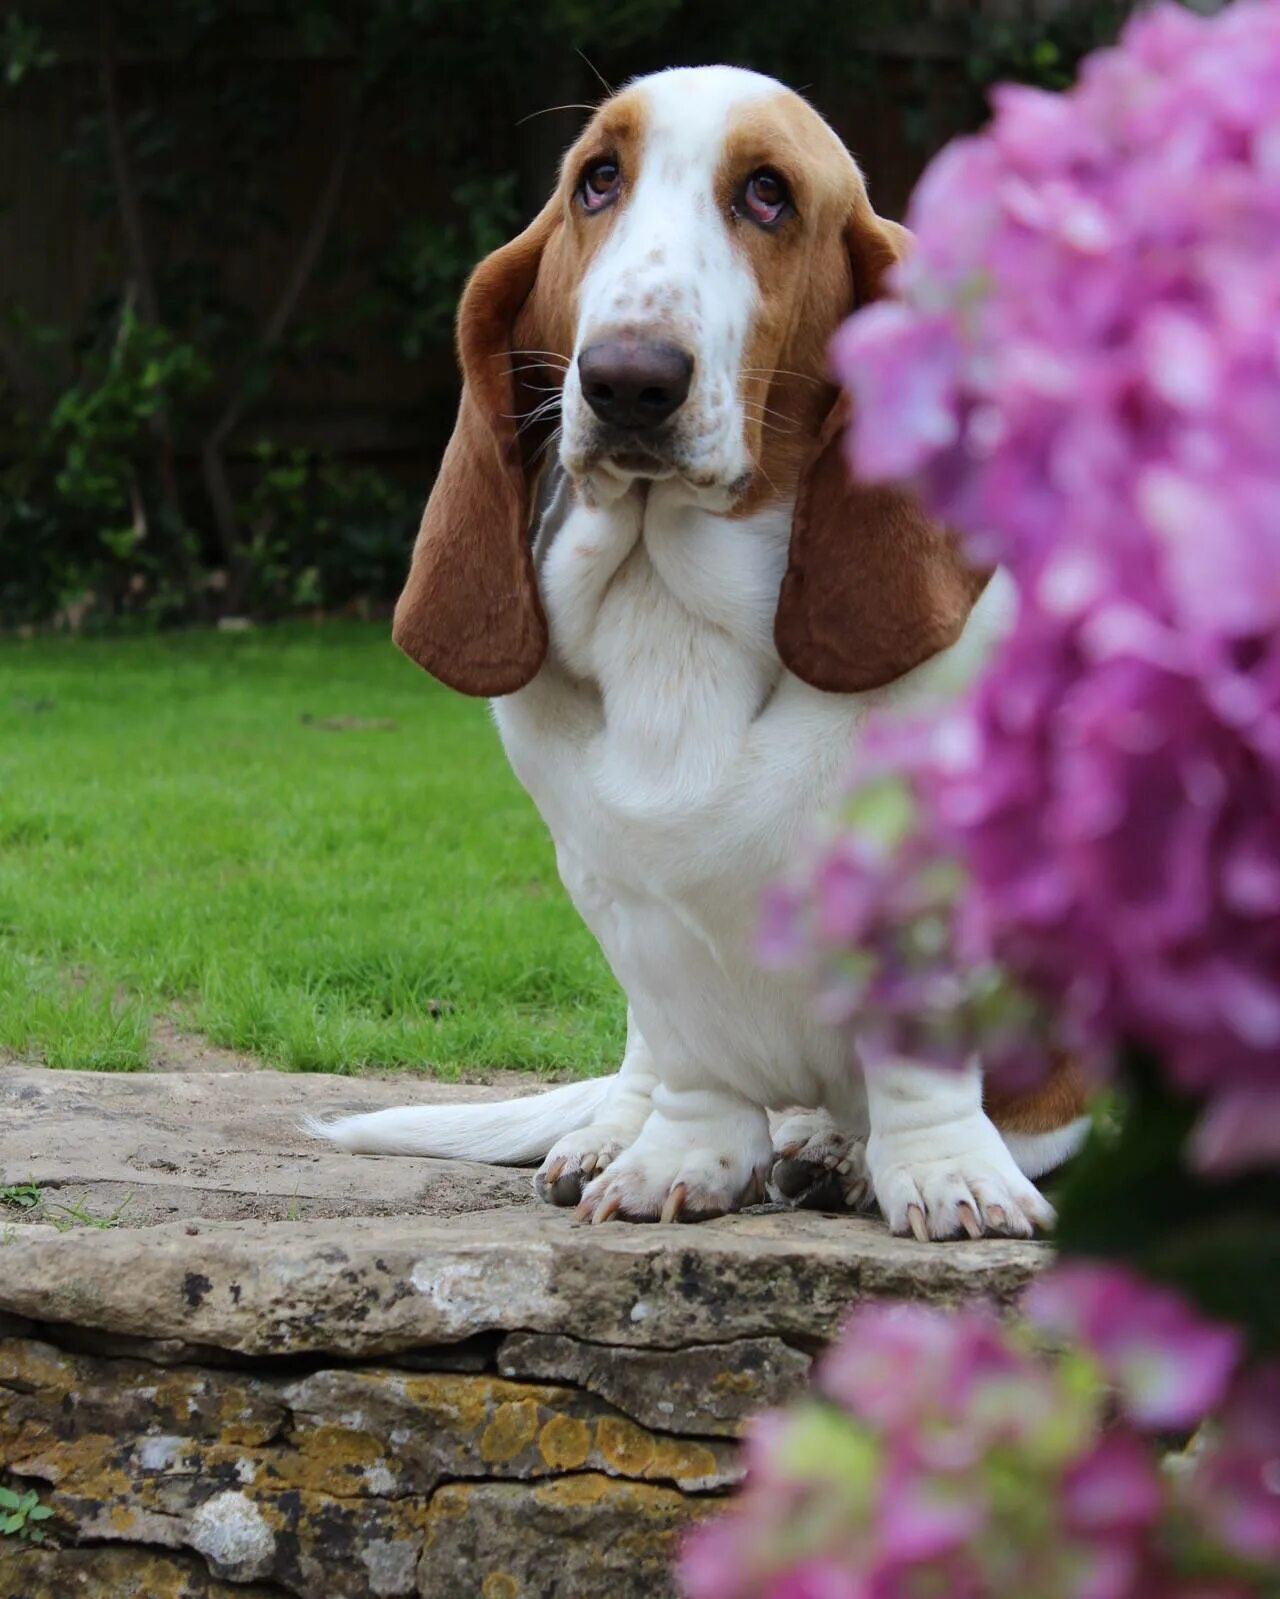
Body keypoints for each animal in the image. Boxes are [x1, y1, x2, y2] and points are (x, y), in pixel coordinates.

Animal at [311, 65, 1086, 1234]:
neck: (671, 614)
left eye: (767, 195)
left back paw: (838, 1149)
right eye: (597, 180)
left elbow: (921, 1066)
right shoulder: (622, 899)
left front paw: (942, 1172)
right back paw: (613, 1135)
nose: (629, 380)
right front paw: (677, 1157)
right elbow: (688, 1059)